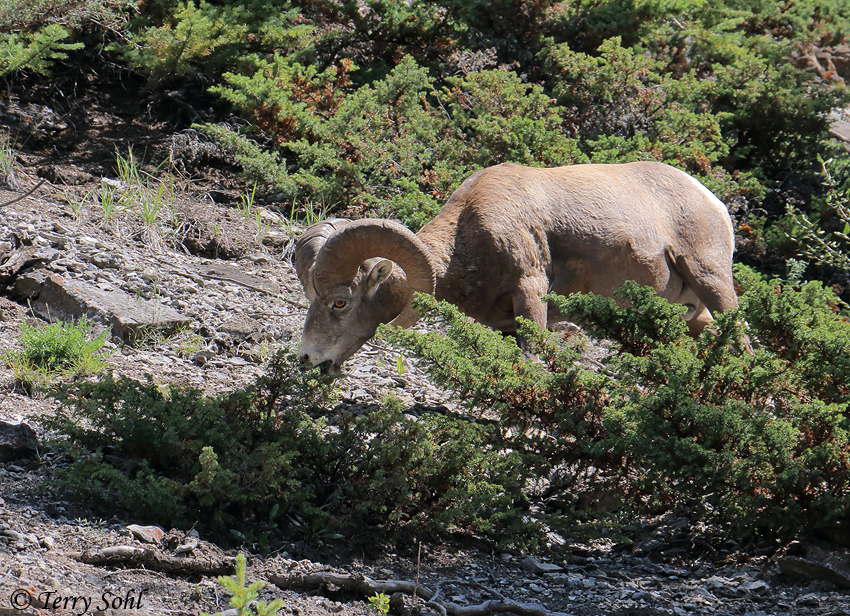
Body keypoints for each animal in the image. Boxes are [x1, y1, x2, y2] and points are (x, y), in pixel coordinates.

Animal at [295, 161, 739, 374]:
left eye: (340, 302)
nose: (308, 360)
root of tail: (712, 201)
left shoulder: (531, 293)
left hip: (711, 280)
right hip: (689, 314)